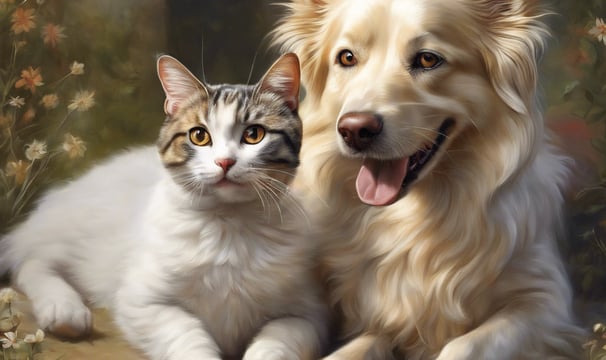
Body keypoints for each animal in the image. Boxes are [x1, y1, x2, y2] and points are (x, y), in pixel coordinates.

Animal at [0, 53, 330, 360]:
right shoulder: (144, 303)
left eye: (254, 135)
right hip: (71, 239)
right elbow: (188, 337)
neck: (229, 226)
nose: (224, 162)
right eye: (199, 136)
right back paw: (64, 309)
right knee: (32, 263)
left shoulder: (306, 316)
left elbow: (275, 342)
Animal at [274, 1, 588, 358]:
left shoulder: (546, 301)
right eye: (347, 58)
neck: (417, 221)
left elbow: (464, 345)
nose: (354, 129)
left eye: (427, 59)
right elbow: (357, 345)